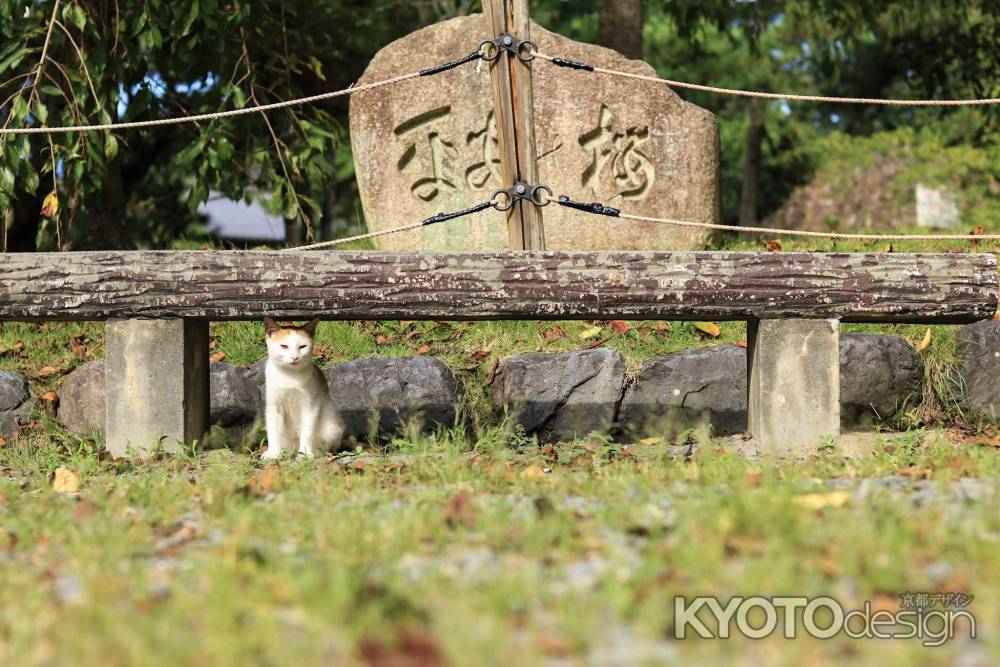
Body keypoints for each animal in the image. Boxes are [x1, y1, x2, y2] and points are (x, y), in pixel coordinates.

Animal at [262, 318, 344, 460]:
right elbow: (273, 432)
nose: (295, 357)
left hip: (331, 418)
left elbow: (307, 432)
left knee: (325, 447)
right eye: (284, 346)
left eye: (302, 347)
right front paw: (273, 453)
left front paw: (305, 453)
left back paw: (314, 453)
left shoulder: (311, 406)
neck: (289, 376)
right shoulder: (273, 405)